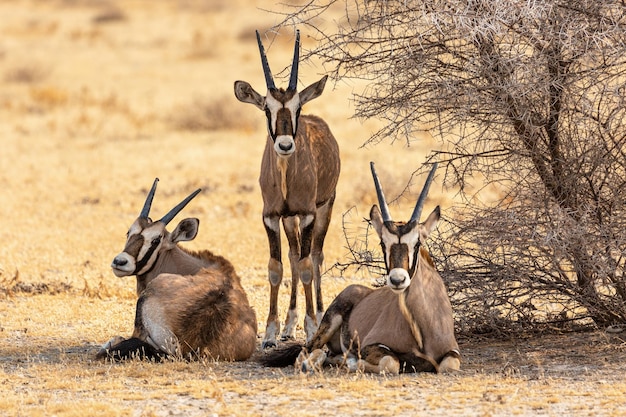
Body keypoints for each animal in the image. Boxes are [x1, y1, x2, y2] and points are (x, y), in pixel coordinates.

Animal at [234, 30, 342, 348]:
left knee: (315, 257)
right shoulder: (271, 216)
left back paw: (319, 316)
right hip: (289, 219)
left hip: (324, 207)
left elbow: (307, 267)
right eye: (266, 109)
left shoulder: (307, 214)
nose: (284, 145)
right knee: (294, 257)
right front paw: (271, 332)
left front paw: (311, 326)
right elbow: (277, 267)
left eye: (298, 108)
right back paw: (289, 326)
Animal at [258, 163, 458, 374]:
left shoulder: (452, 352)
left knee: (325, 354)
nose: (397, 280)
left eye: (417, 243)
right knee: (306, 352)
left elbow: (449, 365)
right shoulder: (372, 345)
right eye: (383, 243)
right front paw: (355, 362)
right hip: (329, 323)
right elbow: (391, 362)